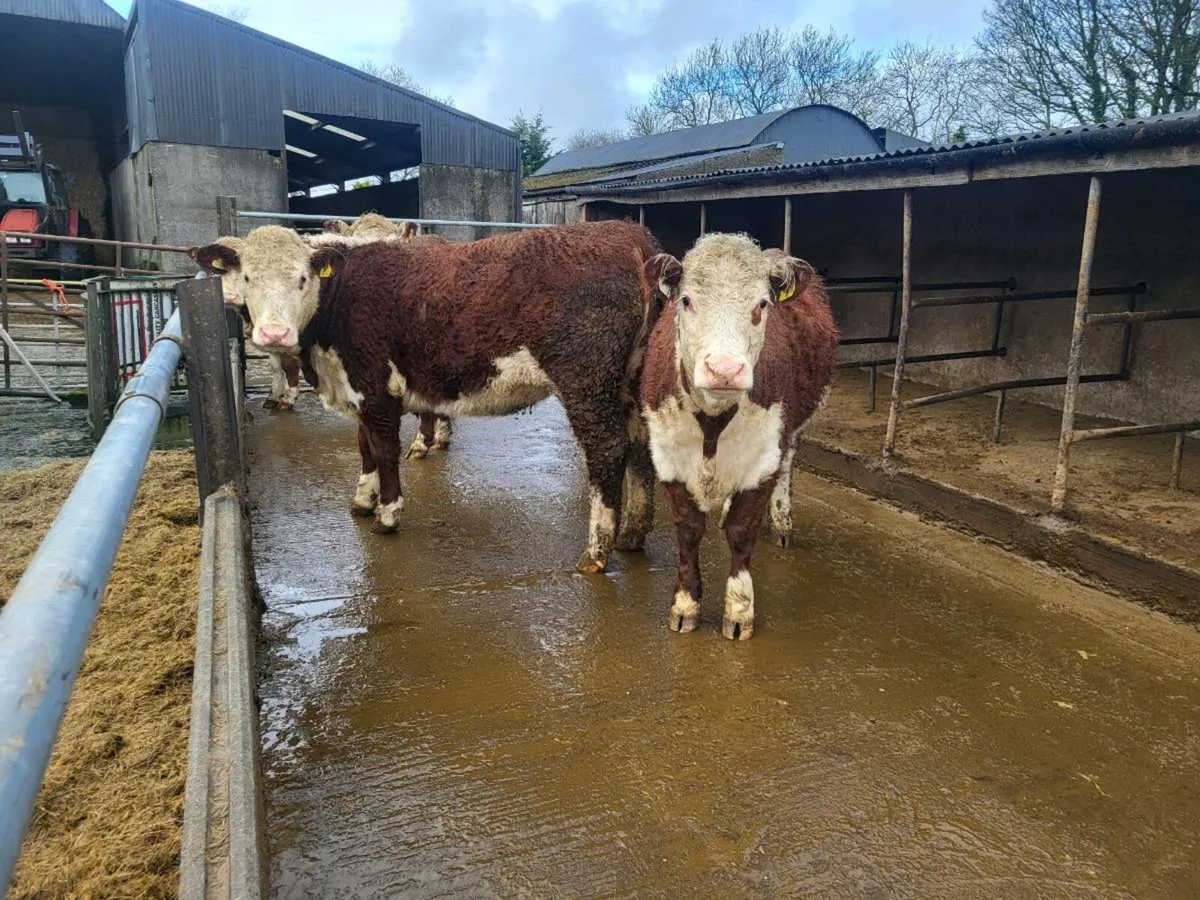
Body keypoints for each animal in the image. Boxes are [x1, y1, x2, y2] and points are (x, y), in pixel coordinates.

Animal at [190, 220, 662, 573]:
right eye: (247, 277)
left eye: (302, 279)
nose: (274, 334)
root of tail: (628, 235)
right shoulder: (358, 388)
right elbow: (363, 446)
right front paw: (362, 500)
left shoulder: (375, 387)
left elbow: (383, 448)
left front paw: (387, 513)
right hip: (629, 381)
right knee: (641, 445)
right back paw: (632, 534)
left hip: (586, 378)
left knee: (608, 448)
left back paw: (596, 551)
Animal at [639, 233, 838, 640]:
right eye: (686, 300)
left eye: (761, 304)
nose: (725, 370)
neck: (713, 421)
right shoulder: (667, 456)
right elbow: (688, 530)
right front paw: (685, 604)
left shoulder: (764, 456)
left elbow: (742, 531)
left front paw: (739, 611)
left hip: (792, 433)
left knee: (788, 467)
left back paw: (781, 521)